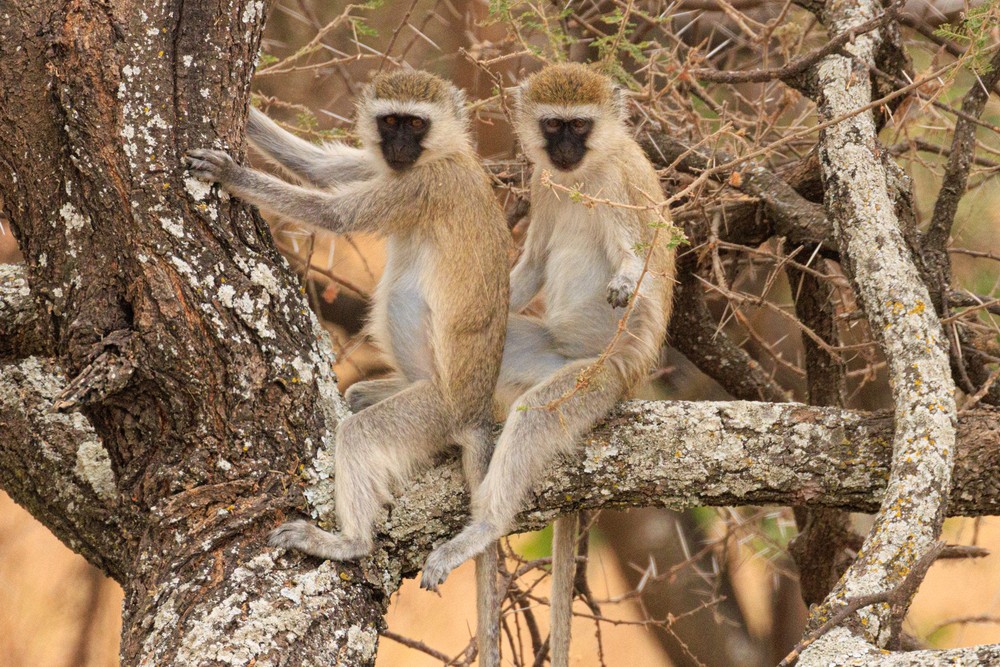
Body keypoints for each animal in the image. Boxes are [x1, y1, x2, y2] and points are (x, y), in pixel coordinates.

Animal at [187, 69, 509, 667]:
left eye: (415, 124)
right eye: (390, 121)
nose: (399, 146)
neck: (445, 155)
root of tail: (476, 411)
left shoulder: (419, 187)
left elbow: (334, 213)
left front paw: (231, 172)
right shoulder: (392, 170)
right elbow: (323, 166)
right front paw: (252, 115)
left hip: (433, 408)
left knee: (361, 434)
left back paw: (348, 543)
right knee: (362, 402)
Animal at [419, 63, 676, 667]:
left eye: (578, 127)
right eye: (552, 125)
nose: (562, 150)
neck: (589, 166)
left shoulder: (612, 187)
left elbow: (636, 263)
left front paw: (628, 278)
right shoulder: (542, 184)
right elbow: (533, 263)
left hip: (596, 378)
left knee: (537, 413)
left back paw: (485, 525)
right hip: (540, 354)